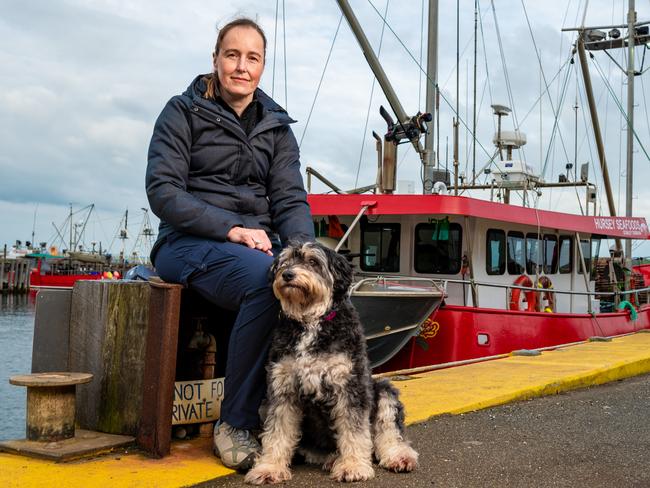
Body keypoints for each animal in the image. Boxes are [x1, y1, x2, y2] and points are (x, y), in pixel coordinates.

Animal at [243, 241, 416, 484]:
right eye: (285, 261)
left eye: (313, 261)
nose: (287, 274)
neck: (311, 322)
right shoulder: (282, 388)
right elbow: (278, 431)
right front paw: (269, 467)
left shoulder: (350, 386)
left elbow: (354, 431)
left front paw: (353, 466)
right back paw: (333, 459)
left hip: (382, 389)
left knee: (388, 432)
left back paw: (397, 457)